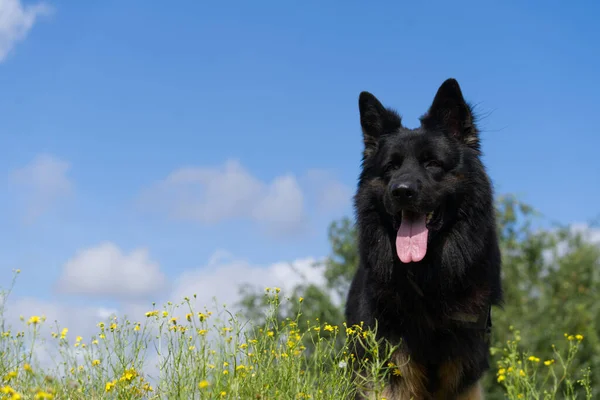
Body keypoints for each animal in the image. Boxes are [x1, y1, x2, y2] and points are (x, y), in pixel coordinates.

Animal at [344, 79, 504, 400]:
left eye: (432, 163)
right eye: (391, 168)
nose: (401, 191)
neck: (427, 278)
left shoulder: (463, 372)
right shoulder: (392, 368)